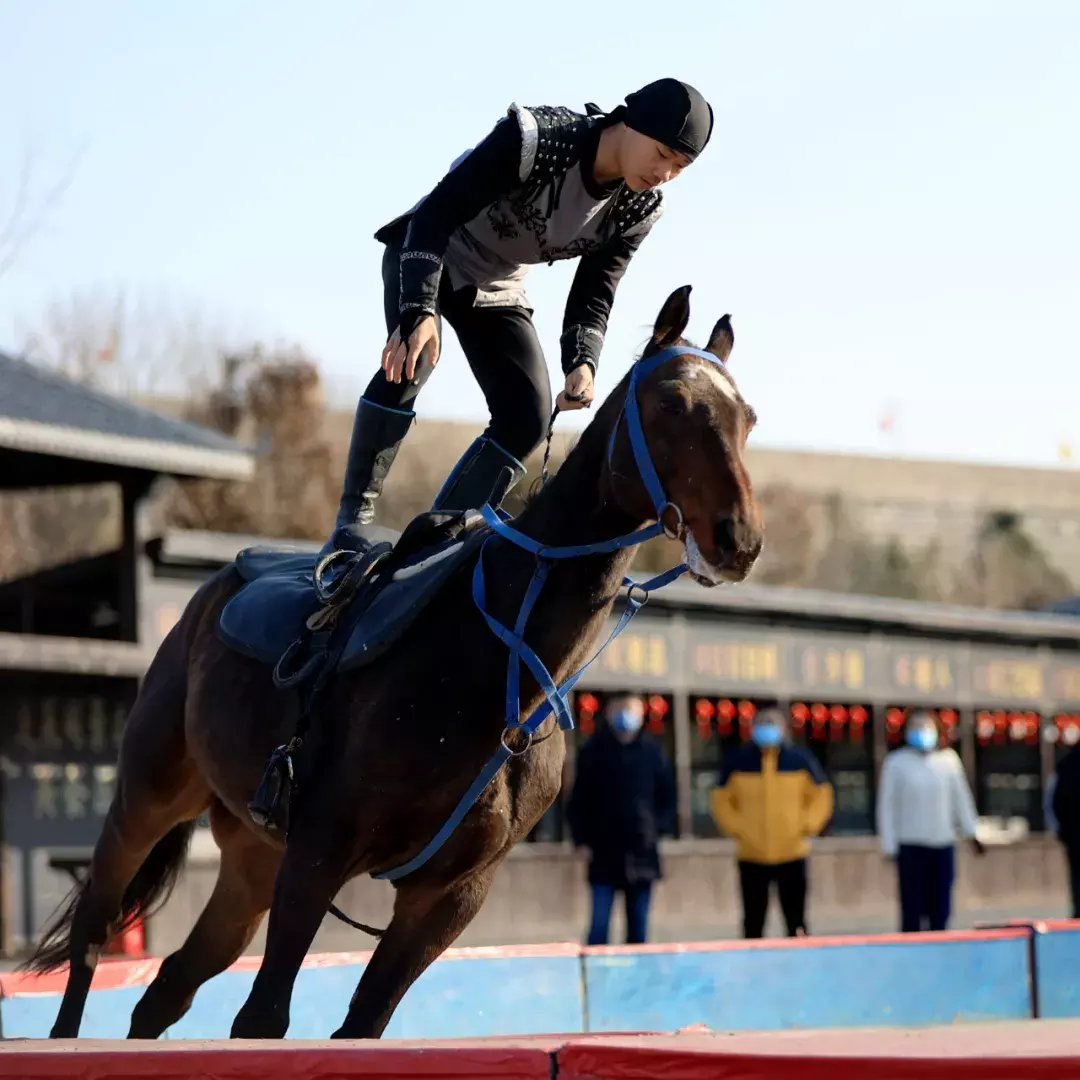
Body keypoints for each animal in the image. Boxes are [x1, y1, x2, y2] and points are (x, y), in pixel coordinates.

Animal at [27, 282, 768, 1041]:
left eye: (747, 418)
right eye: (670, 404)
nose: (736, 538)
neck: (503, 662)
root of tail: (214, 591)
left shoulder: (451, 893)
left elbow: (364, 1020)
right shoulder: (318, 851)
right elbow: (263, 1017)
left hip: (252, 860)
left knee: (169, 987)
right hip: (148, 796)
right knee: (95, 929)